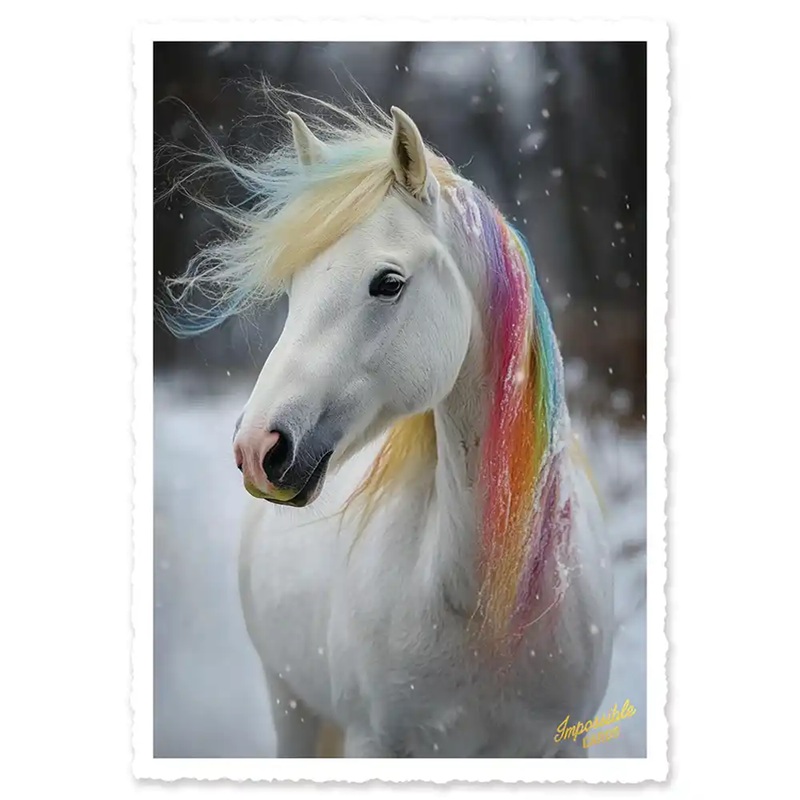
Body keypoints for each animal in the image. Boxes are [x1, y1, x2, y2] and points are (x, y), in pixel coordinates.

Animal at [164, 95, 614, 758]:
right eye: (295, 287)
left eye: (389, 283)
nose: (256, 447)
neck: (488, 607)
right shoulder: (373, 742)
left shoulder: (566, 743)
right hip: (290, 705)